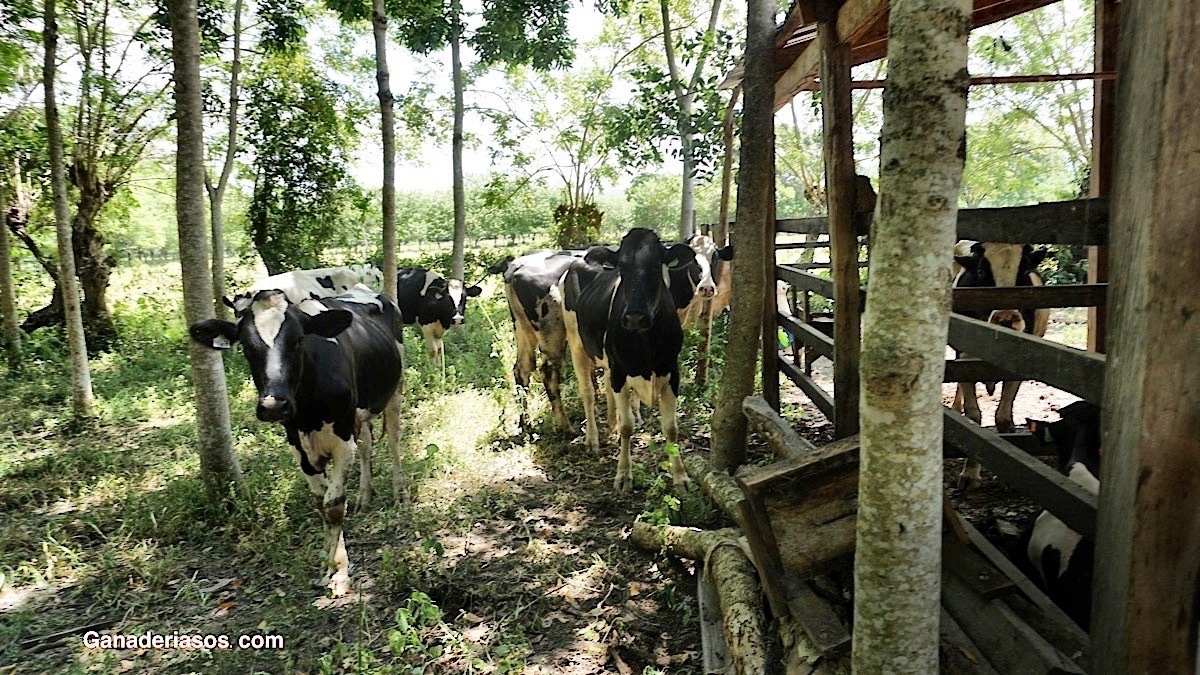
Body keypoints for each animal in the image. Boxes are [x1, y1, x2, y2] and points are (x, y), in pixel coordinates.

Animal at [189, 283, 405, 593]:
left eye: (299, 340)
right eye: (246, 346)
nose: (273, 405)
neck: (308, 411)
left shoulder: (342, 440)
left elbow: (333, 505)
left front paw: (340, 574)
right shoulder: (299, 446)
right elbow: (321, 503)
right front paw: (329, 565)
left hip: (394, 390)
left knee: (395, 438)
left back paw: (399, 491)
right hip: (360, 413)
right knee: (366, 445)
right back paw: (365, 496)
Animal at [564, 228, 700, 492]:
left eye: (656, 267)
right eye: (622, 269)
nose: (635, 316)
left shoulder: (671, 370)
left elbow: (671, 428)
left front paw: (680, 477)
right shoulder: (619, 371)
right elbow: (628, 426)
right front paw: (624, 475)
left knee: (606, 391)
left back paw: (611, 426)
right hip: (577, 344)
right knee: (588, 393)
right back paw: (592, 439)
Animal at [950, 239, 1046, 485]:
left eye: (1025, 271)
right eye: (981, 271)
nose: (1006, 319)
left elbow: (1002, 417)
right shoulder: (965, 358)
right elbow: (973, 415)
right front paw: (970, 473)